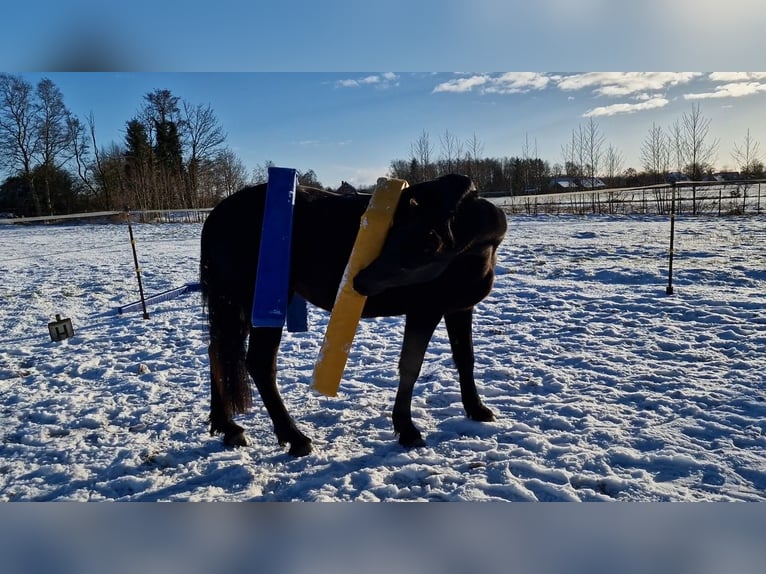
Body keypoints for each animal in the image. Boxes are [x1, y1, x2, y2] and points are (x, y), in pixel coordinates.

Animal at [201, 176, 508, 460]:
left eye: (426, 244)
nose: (360, 281)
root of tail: (219, 214)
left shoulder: (459, 310)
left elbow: (465, 359)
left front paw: (477, 409)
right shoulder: (424, 312)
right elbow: (411, 367)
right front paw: (407, 429)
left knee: (218, 352)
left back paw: (228, 428)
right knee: (259, 364)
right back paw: (295, 437)